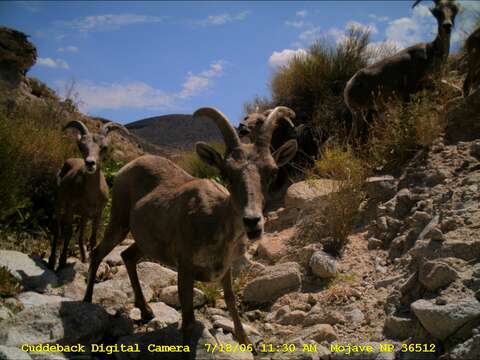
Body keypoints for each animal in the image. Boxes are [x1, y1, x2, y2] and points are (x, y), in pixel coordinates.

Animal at [47, 120, 128, 270]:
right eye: (81, 146)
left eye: (104, 147)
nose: (90, 163)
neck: (90, 195)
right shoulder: (71, 207)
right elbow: (68, 233)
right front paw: (62, 262)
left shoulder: (98, 211)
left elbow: (93, 236)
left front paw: (91, 260)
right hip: (59, 203)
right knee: (58, 229)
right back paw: (51, 261)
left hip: (83, 215)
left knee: (80, 233)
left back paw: (83, 258)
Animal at [84, 105, 298, 350]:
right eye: (226, 172)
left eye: (272, 172)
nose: (252, 221)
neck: (214, 221)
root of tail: (124, 169)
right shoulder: (184, 268)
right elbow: (188, 322)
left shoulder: (225, 268)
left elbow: (231, 301)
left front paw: (245, 341)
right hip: (118, 222)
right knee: (98, 252)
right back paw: (87, 302)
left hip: (145, 242)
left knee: (127, 255)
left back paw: (146, 311)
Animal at [344, 0, 460, 139]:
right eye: (437, 12)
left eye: (454, 10)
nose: (447, 26)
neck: (431, 52)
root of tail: (347, 87)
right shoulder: (408, 91)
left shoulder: (431, 83)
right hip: (359, 112)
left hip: (370, 111)